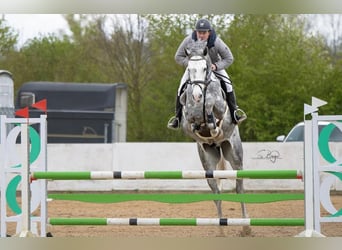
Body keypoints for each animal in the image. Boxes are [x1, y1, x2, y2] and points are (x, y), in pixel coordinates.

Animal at [179, 40, 248, 234]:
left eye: (205, 68)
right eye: (189, 68)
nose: (197, 95)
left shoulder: (219, 106)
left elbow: (210, 105)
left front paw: (212, 124)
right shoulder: (186, 117)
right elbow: (191, 117)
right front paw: (200, 124)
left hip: (235, 155)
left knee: (239, 187)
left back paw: (245, 227)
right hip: (208, 161)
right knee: (216, 192)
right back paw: (221, 228)